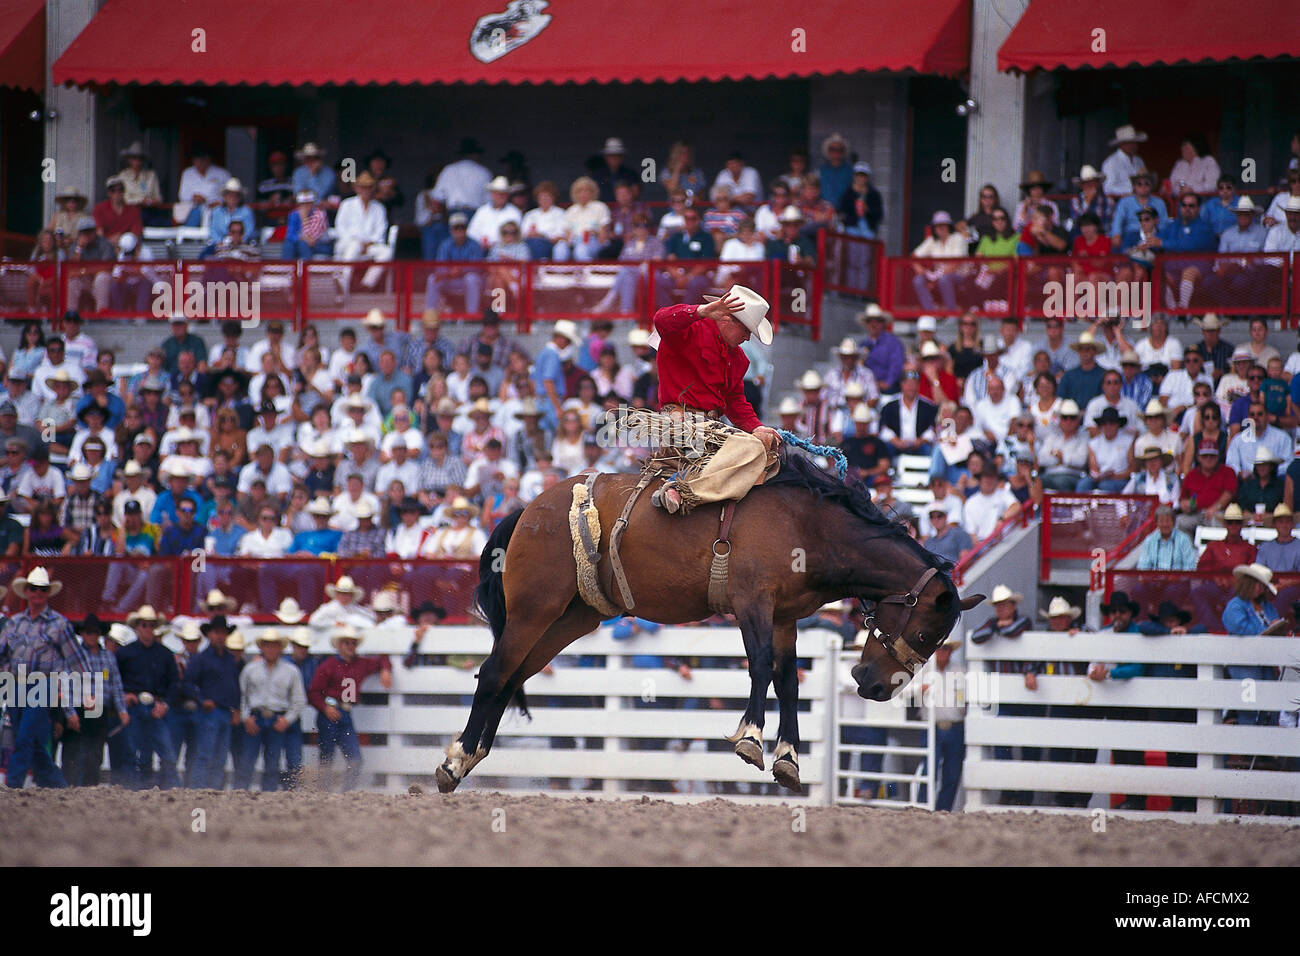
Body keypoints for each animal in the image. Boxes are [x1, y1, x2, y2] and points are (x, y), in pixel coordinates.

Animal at [436, 455, 982, 790]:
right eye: (926, 631)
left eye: (936, 641)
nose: (873, 686)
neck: (808, 525)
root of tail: (528, 508)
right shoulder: (752, 604)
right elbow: (760, 667)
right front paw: (750, 739)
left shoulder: (785, 617)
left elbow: (787, 679)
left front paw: (788, 758)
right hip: (535, 609)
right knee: (494, 672)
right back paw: (454, 759)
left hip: (570, 618)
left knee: (511, 676)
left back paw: (471, 756)